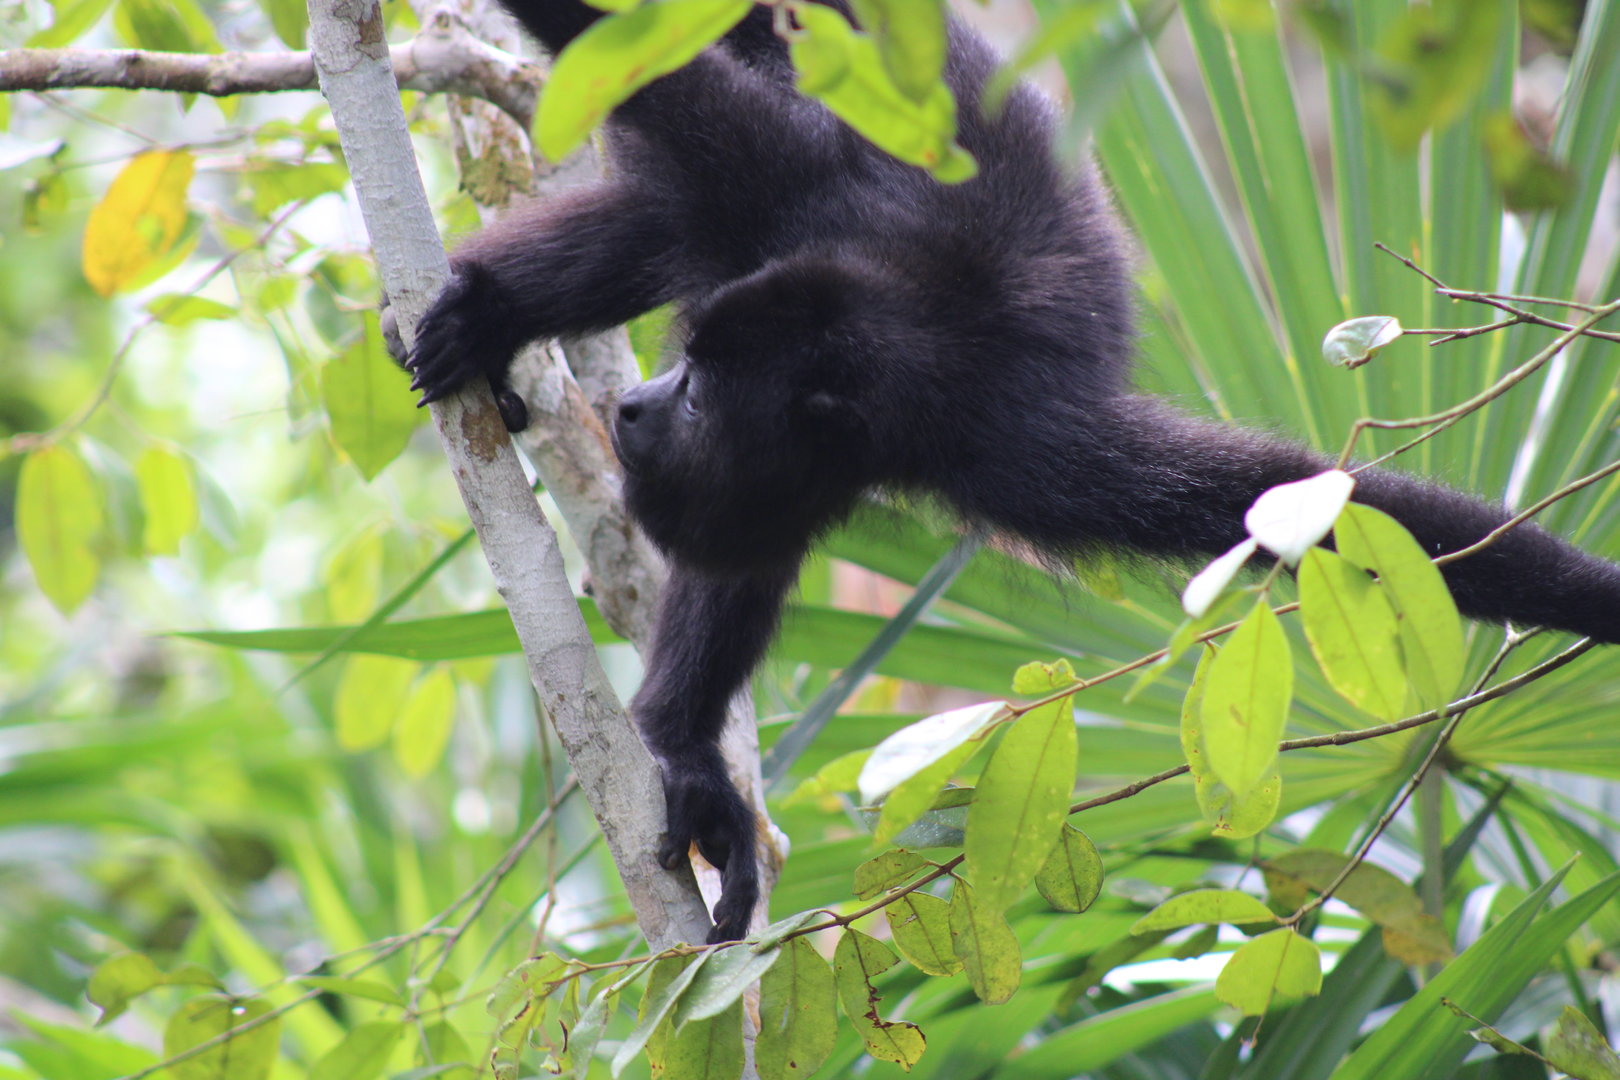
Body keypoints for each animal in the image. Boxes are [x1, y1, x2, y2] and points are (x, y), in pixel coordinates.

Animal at [403, 1, 1620, 942]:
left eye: (699, 390)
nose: (639, 404)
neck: (901, 356)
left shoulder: (1017, 446)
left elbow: (1300, 505)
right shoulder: (777, 197)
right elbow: (645, 75)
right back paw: (490, 315)